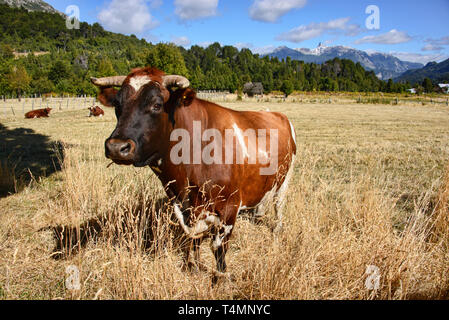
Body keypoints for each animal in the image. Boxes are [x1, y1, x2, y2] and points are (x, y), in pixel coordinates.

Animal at [90, 67, 298, 280]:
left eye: (157, 105)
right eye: (118, 105)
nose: (116, 147)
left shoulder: (229, 207)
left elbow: (218, 248)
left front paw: (221, 277)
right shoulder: (186, 206)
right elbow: (195, 240)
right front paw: (196, 268)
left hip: (285, 178)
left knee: (279, 204)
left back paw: (277, 229)